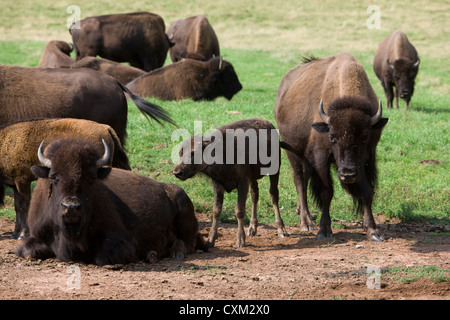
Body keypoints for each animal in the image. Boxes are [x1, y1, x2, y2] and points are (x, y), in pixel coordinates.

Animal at [0, 117, 130, 238]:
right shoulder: (14, 184)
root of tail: (106, 128)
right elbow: (17, 207)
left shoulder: (22, 181)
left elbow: (24, 206)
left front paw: (22, 234)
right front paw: (15, 233)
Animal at [14, 138, 204, 264]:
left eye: (91, 178)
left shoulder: (119, 240)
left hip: (181, 203)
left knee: (188, 242)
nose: (71, 207)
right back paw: (152, 254)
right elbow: (27, 251)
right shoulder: (36, 234)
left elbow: (103, 257)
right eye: (54, 177)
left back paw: (174, 253)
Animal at [172, 117, 288, 248]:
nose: (177, 172)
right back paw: (252, 228)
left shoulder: (243, 182)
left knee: (273, 194)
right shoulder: (218, 185)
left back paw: (281, 229)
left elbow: (240, 210)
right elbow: (216, 211)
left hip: (275, 170)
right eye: (180, 153)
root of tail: (270, 125)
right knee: (255, 194)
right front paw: (210, 241)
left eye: (193, 153)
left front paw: (240, 241)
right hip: (253, 178)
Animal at [276, 52, 388, 241]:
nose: (348, 174)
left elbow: (367, 192)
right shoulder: (320, 157)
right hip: (292, 151)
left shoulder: (366, 159)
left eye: (365, 137)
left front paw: (373, 230)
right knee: (299, 180)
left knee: (304, 179)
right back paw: (306, 222)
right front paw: (324, 230)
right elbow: (326, 192)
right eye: (332, 137)